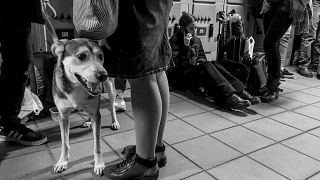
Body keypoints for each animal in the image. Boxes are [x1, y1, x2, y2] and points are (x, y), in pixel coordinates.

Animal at [51, 38, 120, 176]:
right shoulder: (63, 116)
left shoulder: (96, 114)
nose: (103, 75)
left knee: (111, 105)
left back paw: (114, 122)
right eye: (81, 56)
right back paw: (88, 122)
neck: (76, 86)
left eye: (101, 56)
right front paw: (62, 162)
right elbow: (64, 143)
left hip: (110, 87)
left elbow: (97, 144)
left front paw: (99, 164)